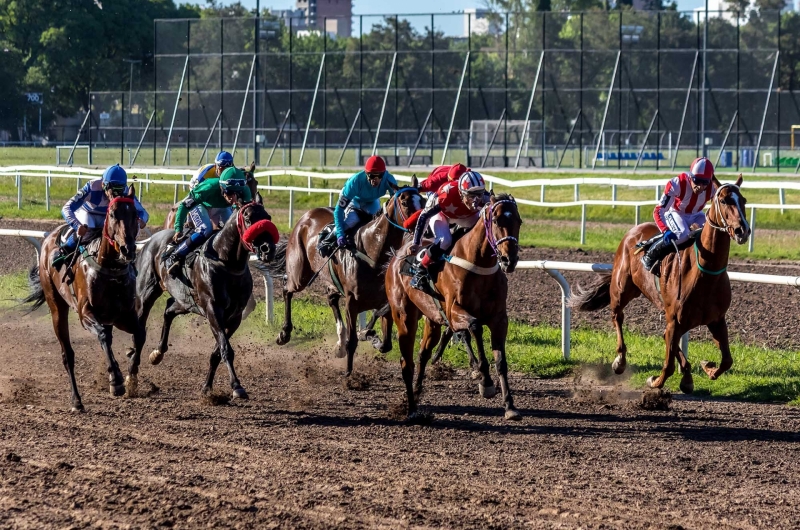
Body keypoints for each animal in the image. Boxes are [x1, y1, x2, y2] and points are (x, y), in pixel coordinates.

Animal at [23, 186, 145, 412]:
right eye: (113, 214)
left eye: (135, 214)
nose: (128, 249)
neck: (110, 269)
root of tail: (50, 238)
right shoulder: (85, 314)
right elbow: (103, 337)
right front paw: (117, 381)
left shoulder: (124, 315)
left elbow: (140, 335)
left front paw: (130, 376)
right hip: (56, 306)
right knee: (68, 355)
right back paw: (77, 400)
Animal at [135, 191, 278, 396]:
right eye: (249, 219)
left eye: (268, 217)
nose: (268, 249)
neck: (226, 263)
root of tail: (153, 239)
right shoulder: (213, 310)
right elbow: (226, 349)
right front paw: (236, 386)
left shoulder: (234, 317)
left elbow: (217, 352)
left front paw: (207, 386)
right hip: (147, 292)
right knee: (141, 323)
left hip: (186, 301)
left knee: (169, 309)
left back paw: (158, 353)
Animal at [266, 178, 422, 376]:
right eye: (404, 202)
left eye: (423, 200)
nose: (420, 226)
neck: (372, 251)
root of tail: (307, 215)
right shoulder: (352, 301)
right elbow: (353, 340)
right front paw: (348, 372)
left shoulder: (385, 300)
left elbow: (386, 343)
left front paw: (369, 335)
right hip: (299, 273)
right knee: (287, 289)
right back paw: (284, 334)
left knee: (331, 299)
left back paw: (339, 343)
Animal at [386, 192, 524, 418]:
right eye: (496, 220)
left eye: (518, 221)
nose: (508, 260)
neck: (478, 265)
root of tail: (399, 254)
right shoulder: (453, 313)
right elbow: (475, 327)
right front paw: (485, 381)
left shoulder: (499, 319)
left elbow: (501, 362)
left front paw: (510, 406)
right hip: (405, 317)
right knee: (407, 361)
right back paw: (412, 408)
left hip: (432, 319)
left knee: (423, 354)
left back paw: (416, 392)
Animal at [568, 175, 752, 390]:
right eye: (723, 200)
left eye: (743, 200)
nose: (742, 231)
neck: (705, 274)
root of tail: (634, 231)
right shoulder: (674, 318)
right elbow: (669, 364)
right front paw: (656, 380)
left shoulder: (716, 320)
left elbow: (727, 360)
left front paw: (707, 367)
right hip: (621, 290)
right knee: (617, 316)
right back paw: (620, 361)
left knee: (667, 337)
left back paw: (687, 376)